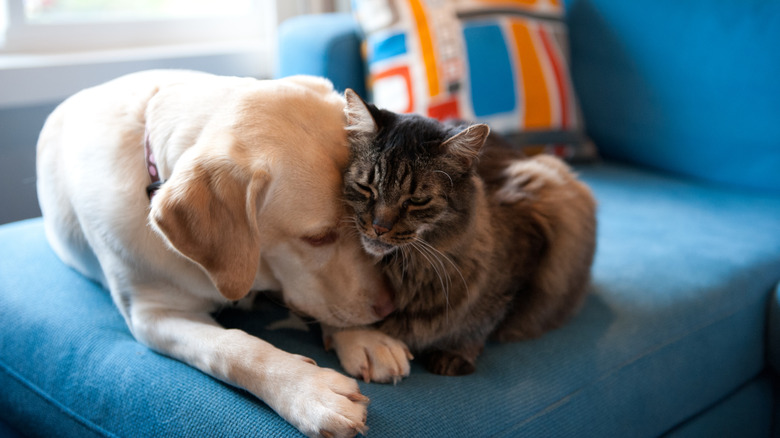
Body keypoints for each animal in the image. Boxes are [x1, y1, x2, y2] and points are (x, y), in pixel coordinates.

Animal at [36, 69, 394, 438]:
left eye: (362, 224)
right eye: (318, 238)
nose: (389, 307)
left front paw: (363, 338)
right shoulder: (152, 316)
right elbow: (234, 349)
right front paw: (308, 390)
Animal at [322, 90, 596, 380]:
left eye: (417, 200)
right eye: (366, 188)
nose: (379, 227)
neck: (406, 272)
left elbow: (483, 319)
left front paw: (456, 353)